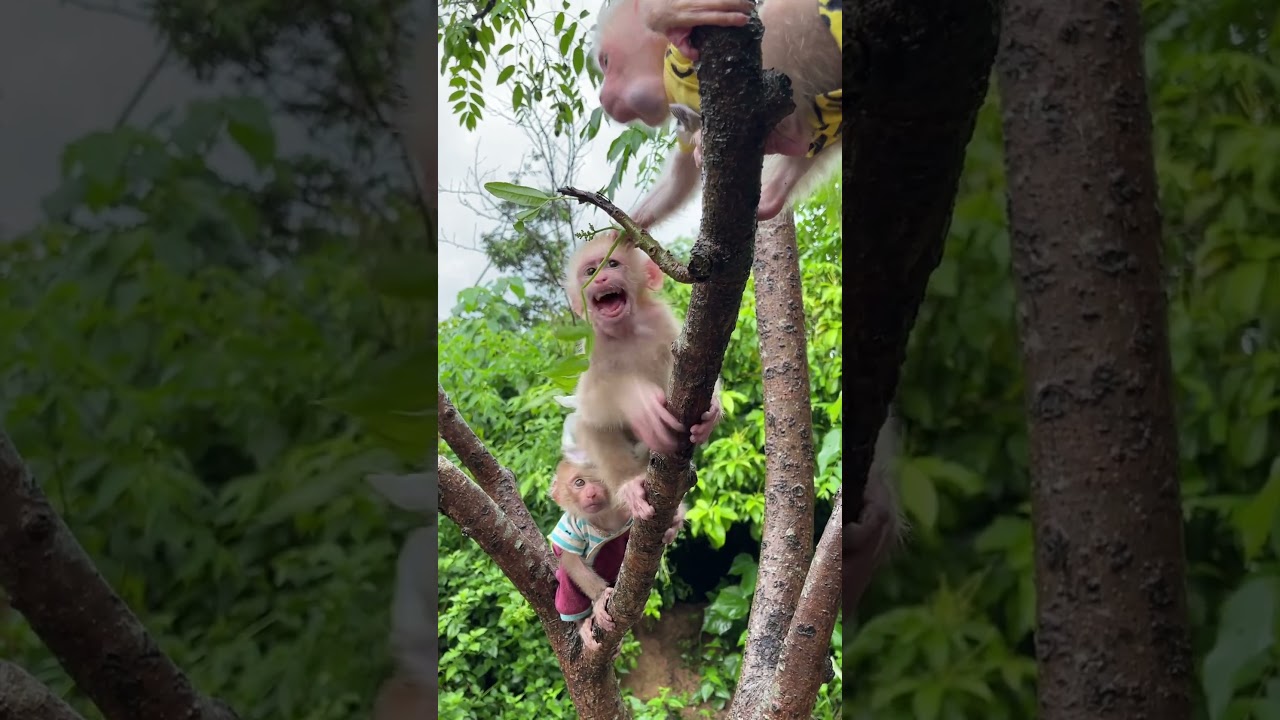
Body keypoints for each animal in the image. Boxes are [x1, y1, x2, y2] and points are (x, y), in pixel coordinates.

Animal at [549, 458, 686, 652]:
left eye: (598, 478)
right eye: (579, 483)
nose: (592, 493)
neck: (603, 517)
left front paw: (674, 522)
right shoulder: (570, 524)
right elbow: (571, 560)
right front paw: (600, 597)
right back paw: (583, 622)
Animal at [564, 234, 724, 521]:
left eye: (612, 264)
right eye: (590, 271)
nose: (601, 279)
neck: (625, 330)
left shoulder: (659, 319)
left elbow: (688, 359)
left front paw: (713, 410)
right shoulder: (595, 347)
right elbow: (591, 405)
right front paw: (639, 402)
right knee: (589, 425)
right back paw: (629, 487)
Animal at [594, 0, 843, 227]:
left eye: (606, 61)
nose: (602, 97)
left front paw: (668, 14)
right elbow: (680, 179)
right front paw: (620, 232)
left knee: (777, 14)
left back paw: (792, 133)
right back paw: (774, 194)